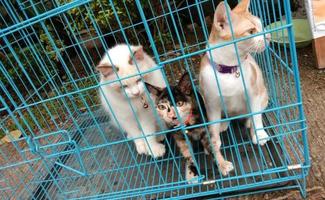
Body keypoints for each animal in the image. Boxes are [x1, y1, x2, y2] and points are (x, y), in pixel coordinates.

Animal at [199, 0, 270, 175]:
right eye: (251, 31)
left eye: (261, 26)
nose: (268, 35)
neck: (229, 70)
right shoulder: (211, 104)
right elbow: (213, 129)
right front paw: (216, 151)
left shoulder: (254, 94)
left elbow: (256, 115)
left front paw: (259, 134)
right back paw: (224, 123)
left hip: (264, 94)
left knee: (257, 112)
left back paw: (249, 123)